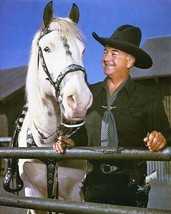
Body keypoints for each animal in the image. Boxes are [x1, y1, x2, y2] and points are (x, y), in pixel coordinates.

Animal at [17, 2, 92, 214]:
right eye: (46, 48)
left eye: (83, 50)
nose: (80, 100)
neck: (46, 145)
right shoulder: (33, 195)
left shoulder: (73, 195)